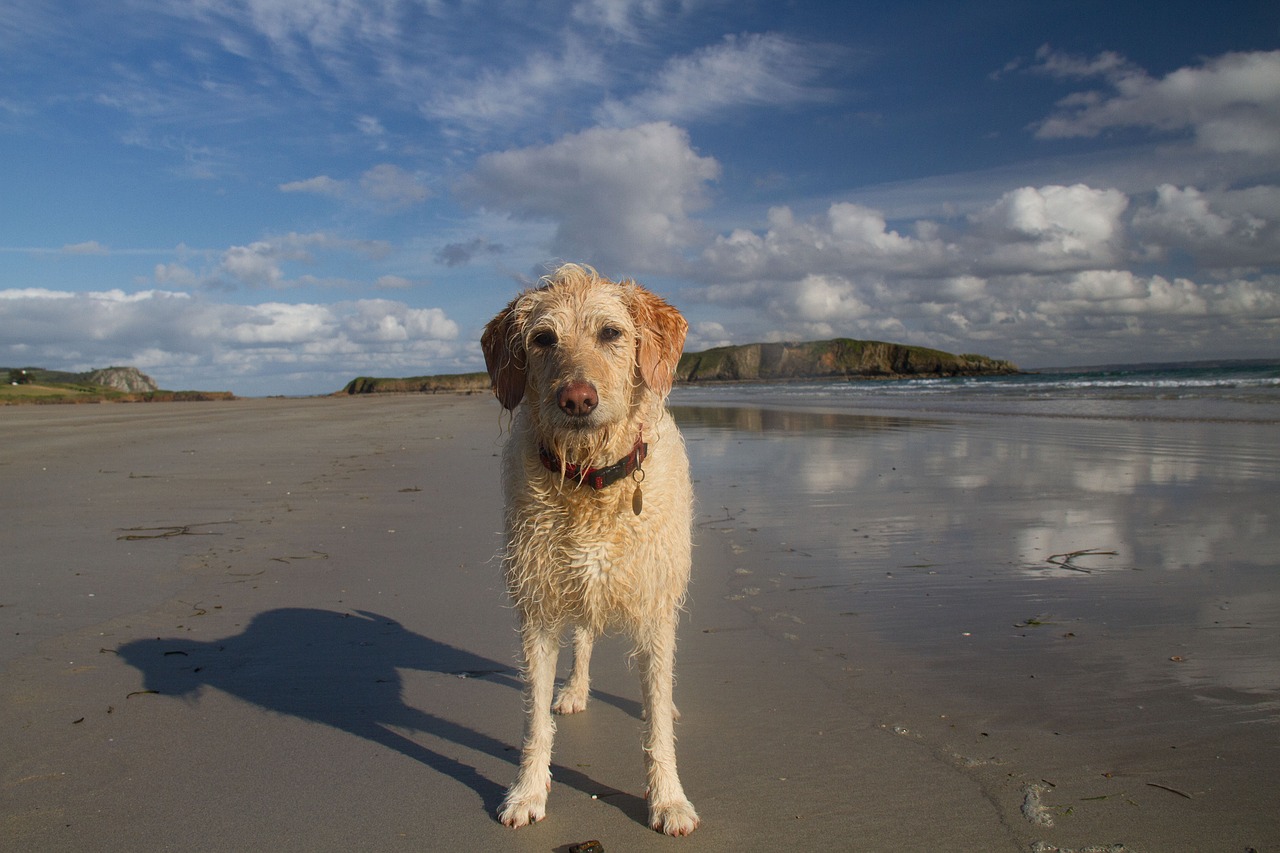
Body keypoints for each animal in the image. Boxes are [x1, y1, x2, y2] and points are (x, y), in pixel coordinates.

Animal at [481, 262, 701, 835]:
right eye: (543, 339)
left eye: (611, 332)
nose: (577, 399)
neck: (590, 479)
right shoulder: (538, 607)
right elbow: (533, 719)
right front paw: (527, 793)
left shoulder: (655, 604)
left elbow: (657, 722)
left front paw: (668, 799)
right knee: (582, 638)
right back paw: (576, 690)